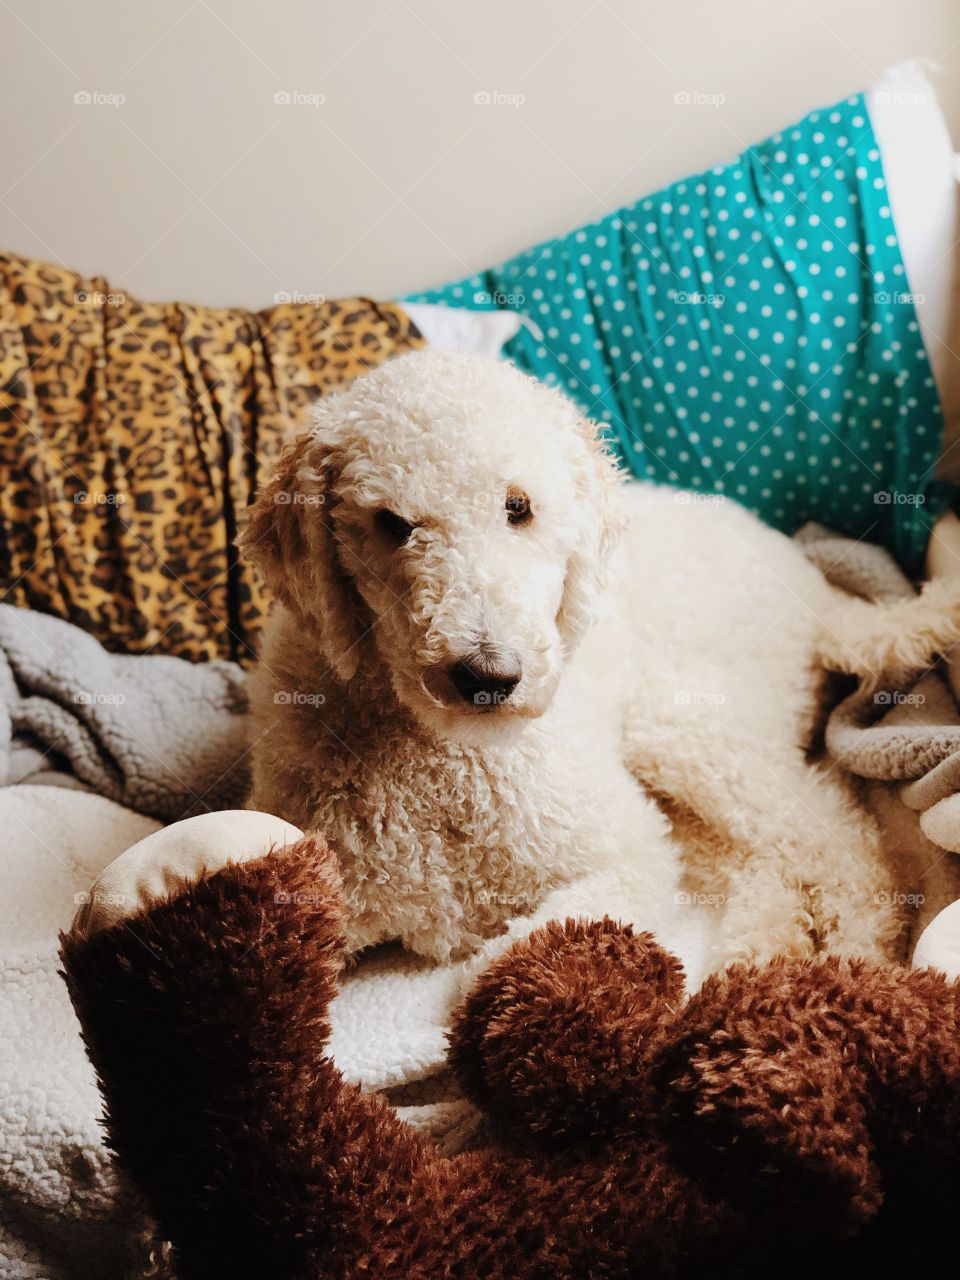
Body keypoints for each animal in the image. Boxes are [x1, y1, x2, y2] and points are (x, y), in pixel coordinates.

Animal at [236, 350, 960, 977]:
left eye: (518, 507)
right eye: (391, 523)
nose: (488, 676)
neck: (442, 763)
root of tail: (813, 585)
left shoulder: (629, 851)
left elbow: (487, 969)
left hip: (683, 728)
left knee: (837, 833)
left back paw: (852, 951)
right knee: (761, 854)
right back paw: (766, 948)